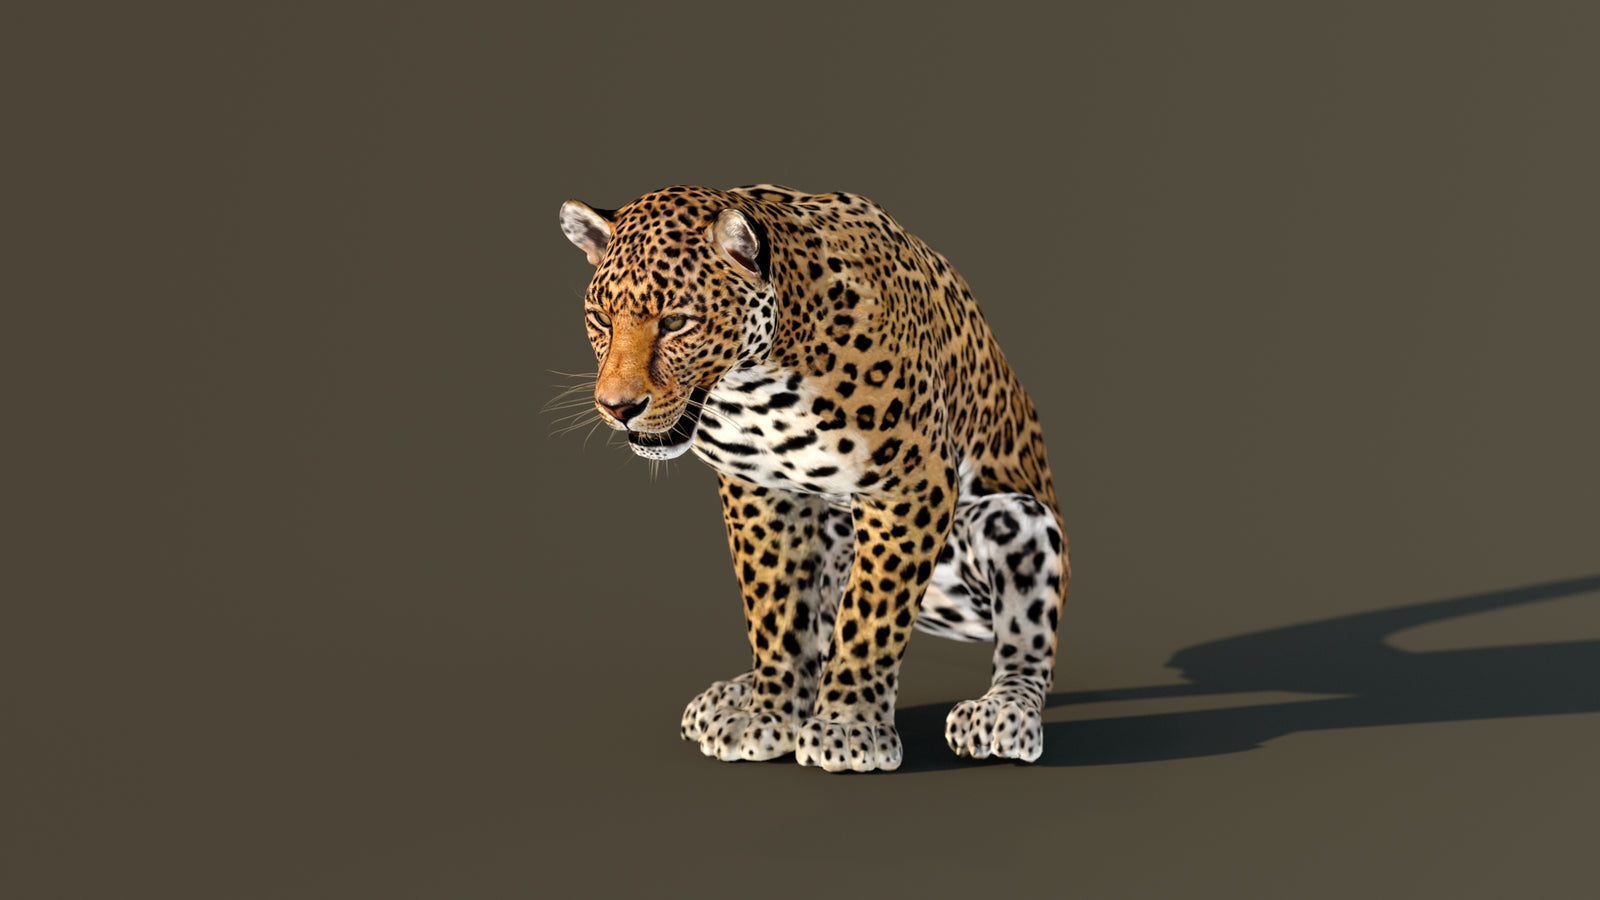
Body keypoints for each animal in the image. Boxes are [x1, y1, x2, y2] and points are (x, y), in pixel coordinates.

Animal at [557, 184, 1070, 772]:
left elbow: (871, 614)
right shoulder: (761, 490)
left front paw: (848, 727)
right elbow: (775, 610)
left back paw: (1002, 713)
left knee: (1026, 645)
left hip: (1016, 520)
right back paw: (735, 694)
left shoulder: (911, 482)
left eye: (677, 322)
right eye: (601, 318)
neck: (758, 384)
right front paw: (769, 713)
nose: (616, 408)